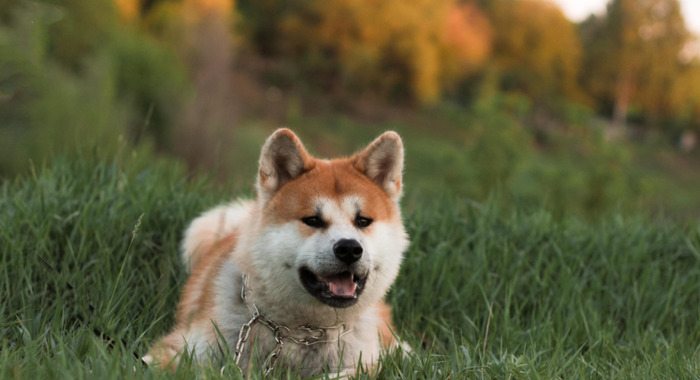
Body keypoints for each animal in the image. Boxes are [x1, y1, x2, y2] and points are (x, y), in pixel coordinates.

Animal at [146, 128, 410, 378]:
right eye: (312, 220)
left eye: (363, 221)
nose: (349, 249)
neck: (300, 332)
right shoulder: (176, 348)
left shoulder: (366, 363)